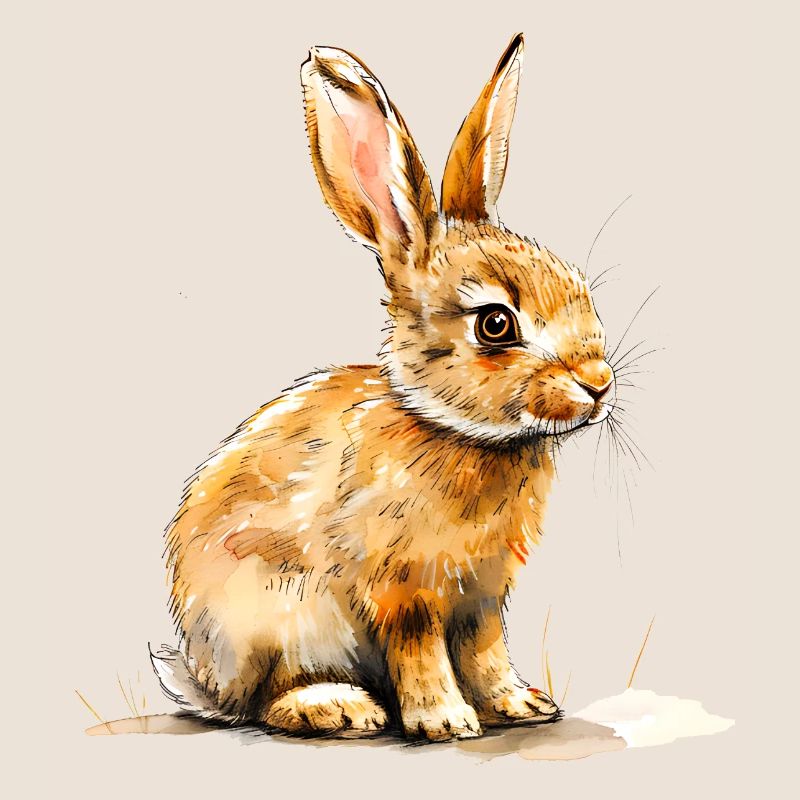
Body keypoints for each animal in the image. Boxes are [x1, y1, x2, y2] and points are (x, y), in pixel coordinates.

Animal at [153, 33, 616, 742]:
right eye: (496, 324)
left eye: (580, 287)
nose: (598, 384)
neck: (460, 433)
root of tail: (203, 679)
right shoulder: (404, 589)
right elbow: (421, 651)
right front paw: (445, 721)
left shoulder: (482, 595)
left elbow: (486, 650)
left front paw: (519, 705)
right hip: (276, 617)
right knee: (265, 702)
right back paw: (338, 707)